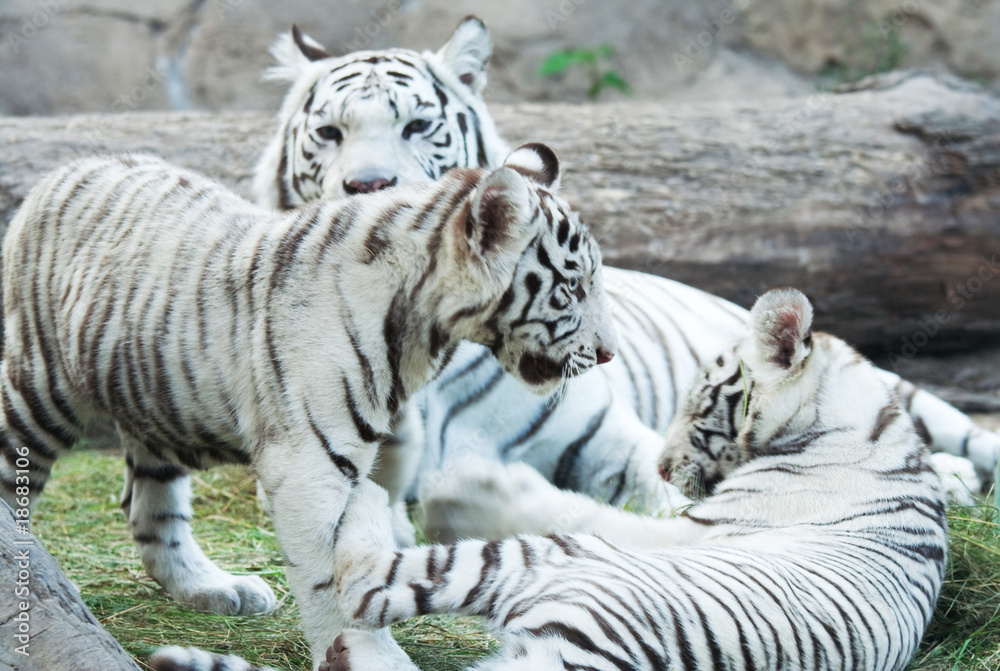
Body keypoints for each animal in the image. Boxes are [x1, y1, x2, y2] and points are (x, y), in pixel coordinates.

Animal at [0, 143, 616, 669]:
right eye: (572, 289)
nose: (608, 352)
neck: (423, 332)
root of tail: (64, 170)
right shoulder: (309, 465)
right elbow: (331, 578)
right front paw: (370, 657)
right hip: (39, 388)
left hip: (154, 403)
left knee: (153, 512)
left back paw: (216, 588)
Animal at [154, 288, 948, 671]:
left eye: (699, 398)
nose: (664, 465)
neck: (860, 424)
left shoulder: (684, 531)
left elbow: (576, 505)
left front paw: (470, 491)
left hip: (546, 565)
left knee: (364, 584)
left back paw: (375, 506)